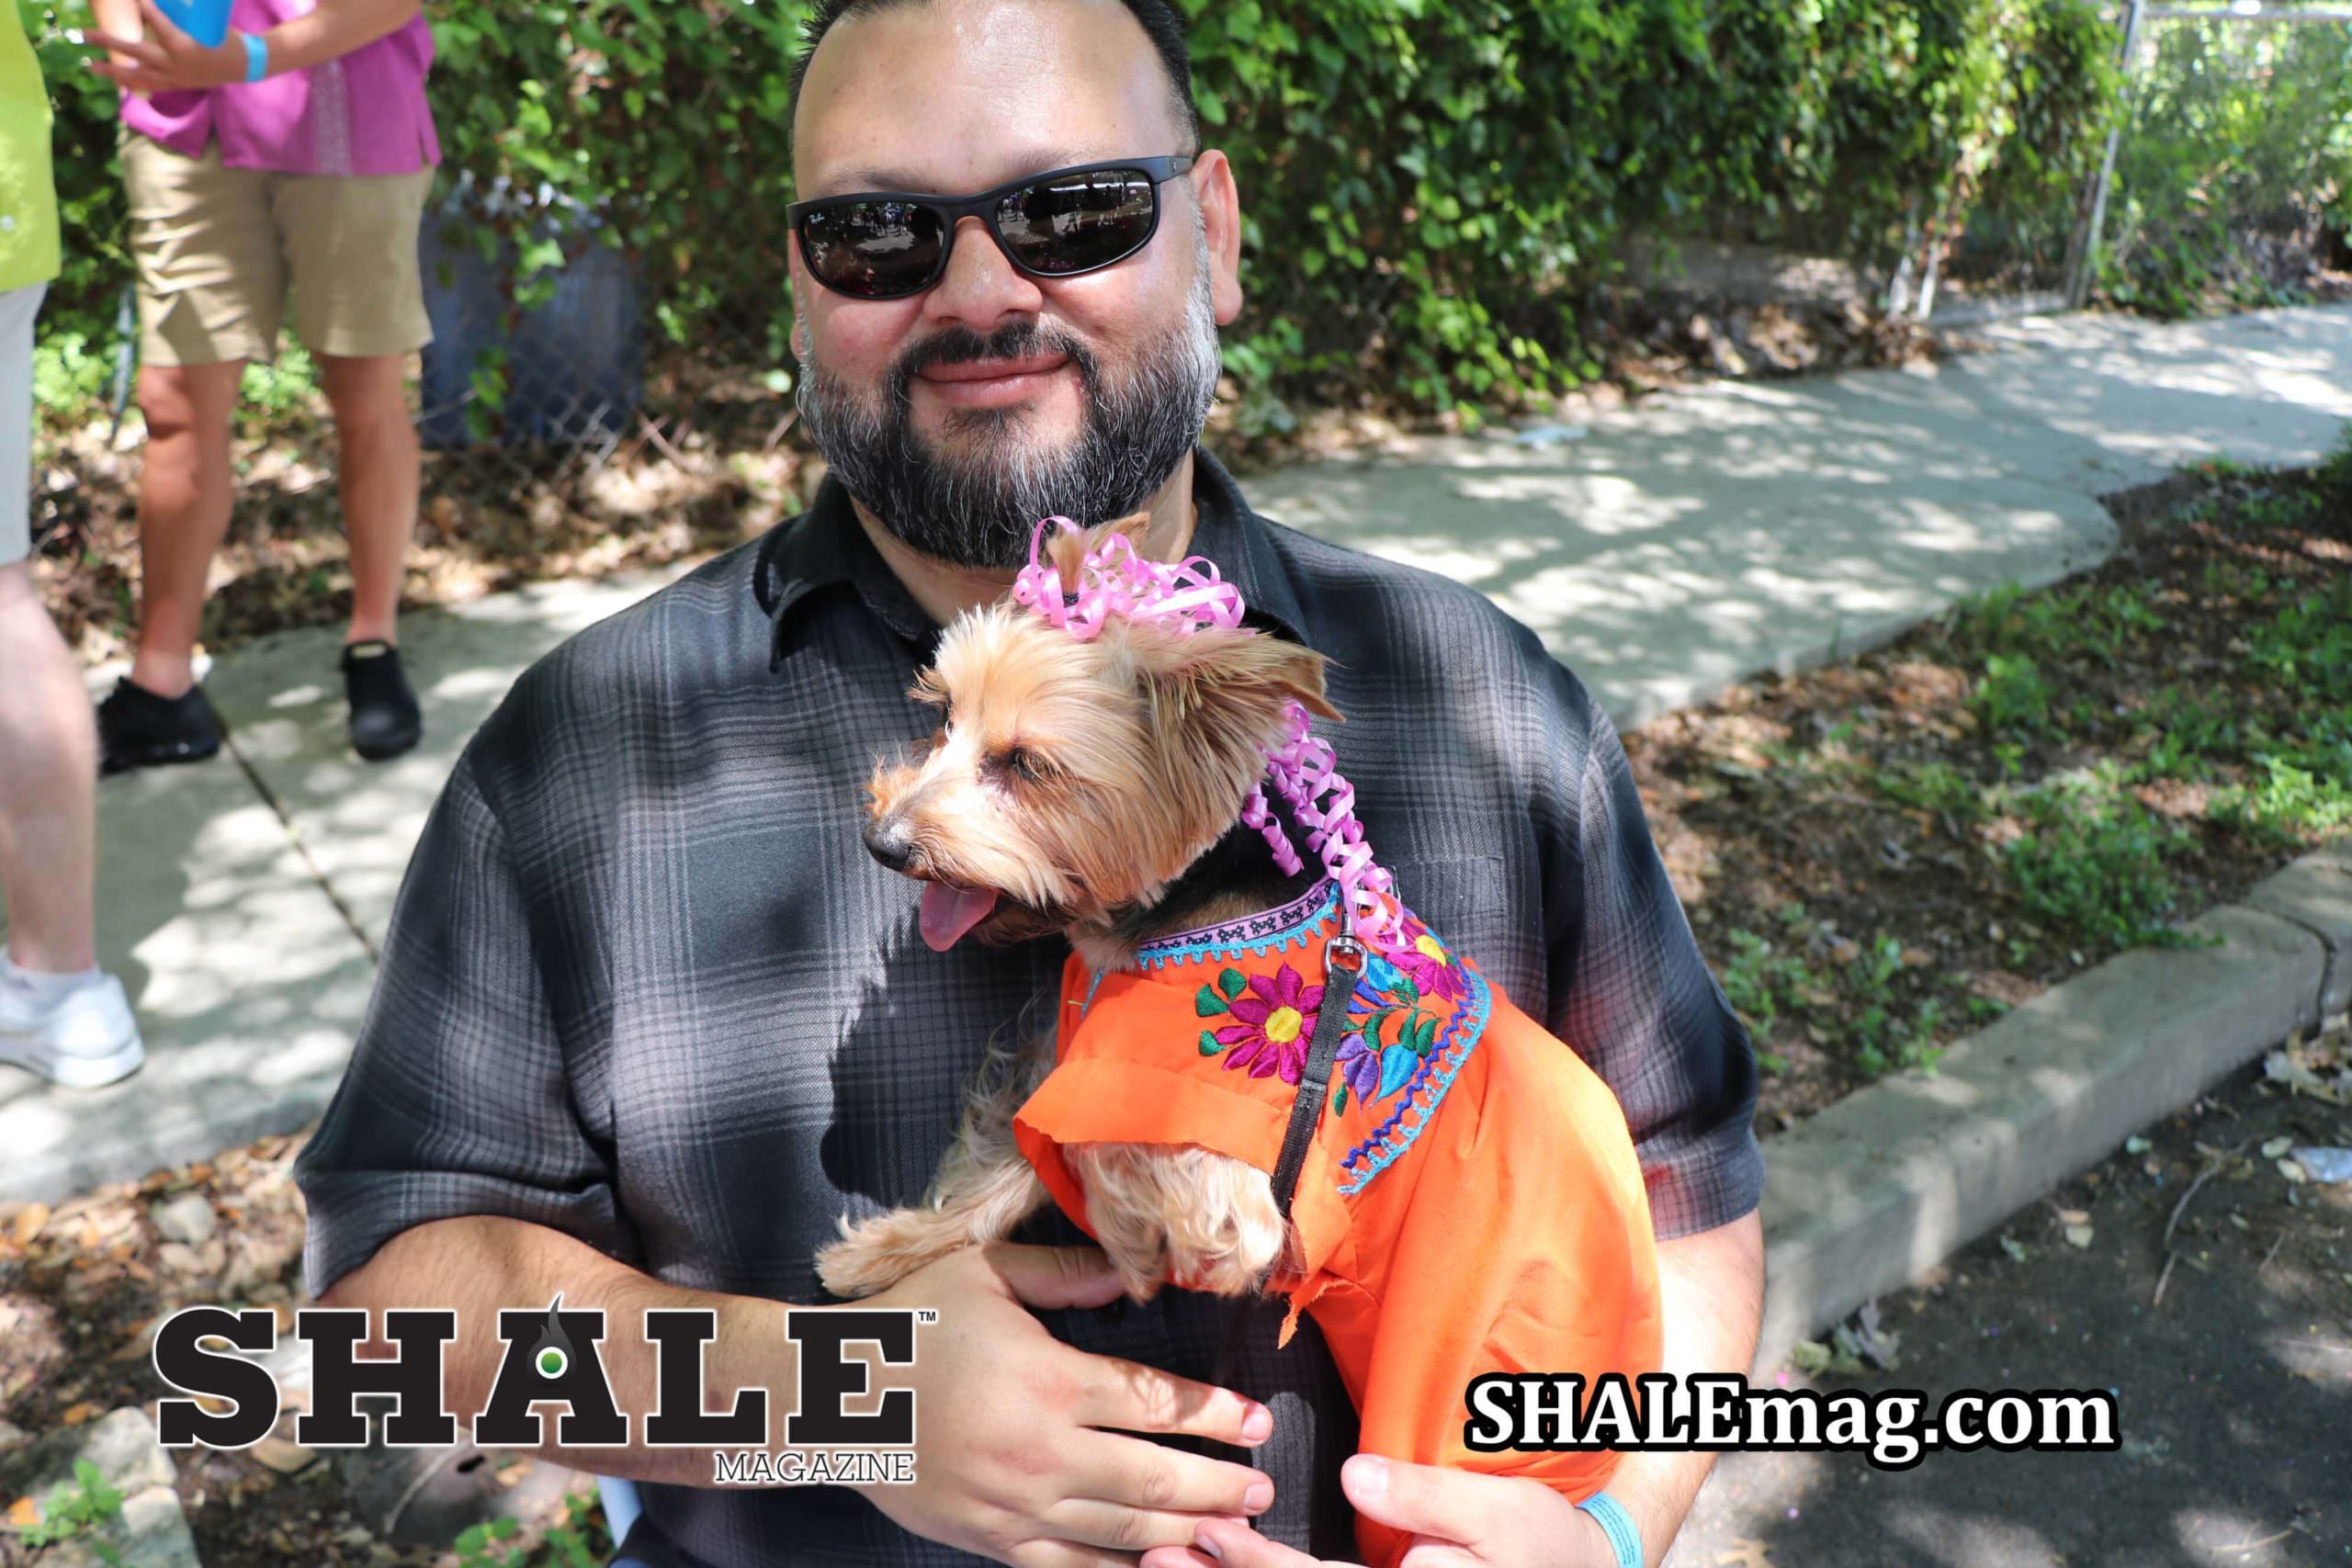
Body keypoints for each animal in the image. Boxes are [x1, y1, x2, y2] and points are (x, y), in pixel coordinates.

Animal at [819, 515, 1661, 1566]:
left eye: (1025, 765)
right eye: (940, 718)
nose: (884, 842)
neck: (1175, 906)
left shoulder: (1228, 1169)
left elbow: (1111, 1159)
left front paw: (1134, 1248)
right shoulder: (1085, 1047)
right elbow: (1012, 1157)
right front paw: (881, 1254)